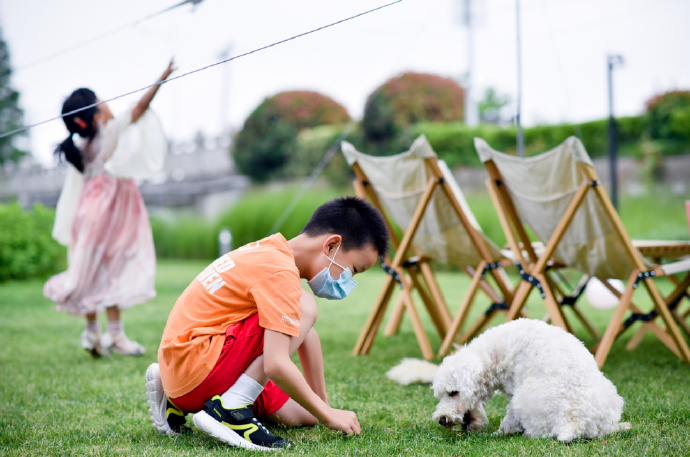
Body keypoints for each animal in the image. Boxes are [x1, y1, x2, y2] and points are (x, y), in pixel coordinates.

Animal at [388, 318, 628, 442]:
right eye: (442, 395)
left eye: (454, 392)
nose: (442, 419)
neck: (495, 353)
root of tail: (574, 423)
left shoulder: (515, 394)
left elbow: (509, 419)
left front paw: (501, 432)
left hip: (526, 397)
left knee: (537, 432)